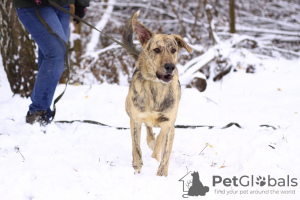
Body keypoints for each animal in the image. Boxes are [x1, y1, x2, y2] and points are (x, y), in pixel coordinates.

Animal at [122, 11, 192, 177]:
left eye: (173, 50)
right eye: (156, 50)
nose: (170, 67)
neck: (156, 86)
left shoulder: (169, 124)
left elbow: (165, 151)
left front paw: (161, 175)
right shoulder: (136, 120)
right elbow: (136, 146)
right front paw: (137, 166)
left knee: (158, 138)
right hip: (129, 110)